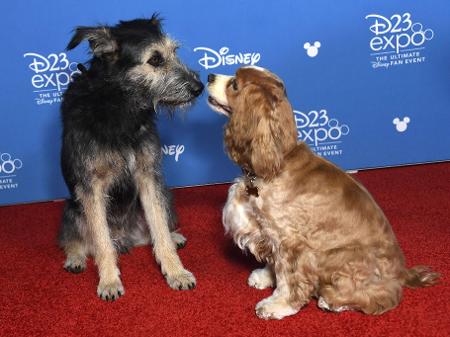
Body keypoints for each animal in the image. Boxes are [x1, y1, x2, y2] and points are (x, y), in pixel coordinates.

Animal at [59, 14, 203, 300]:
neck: (121, 106)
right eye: (155, 59)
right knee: (77, 239)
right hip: (72, 210)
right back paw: (76, 258)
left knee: (156, 231)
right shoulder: (91, 187)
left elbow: (159, 229)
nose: (199, 87)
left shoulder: (148, 175)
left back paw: (175, 237)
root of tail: (125, 238)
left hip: (166, 197)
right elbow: (101, 241)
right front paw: (109, 281)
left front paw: (176, 271)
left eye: (174, 51)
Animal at [207, 66, 440, 320]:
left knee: (383, 296)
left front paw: (277, 305)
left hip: (342, 257)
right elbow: (273, 262)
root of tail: (402, 272)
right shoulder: (267, 230)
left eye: (234, 84)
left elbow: (288, 278)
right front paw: (265, 277)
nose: (209, 76)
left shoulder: (292, 243)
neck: (279, 159)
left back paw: (332, 302)